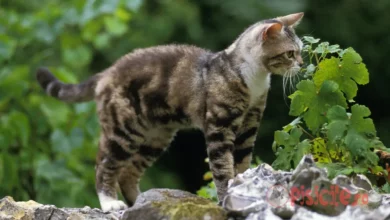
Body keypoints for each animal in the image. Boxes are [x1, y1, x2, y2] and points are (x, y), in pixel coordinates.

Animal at [35, 12, 304, 212]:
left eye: (300, 51)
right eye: (290, 53)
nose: (302, 64)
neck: (254, 78)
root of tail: (106, 72)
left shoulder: (250, 124)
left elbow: (242, 163)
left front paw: (243, 190)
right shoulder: (220, 126)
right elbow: (222, 167)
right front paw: (226, 198)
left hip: (156, 136)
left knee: (128, 173)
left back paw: (142, 202)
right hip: (123, 130)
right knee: (104, 166)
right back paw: (110, 203)